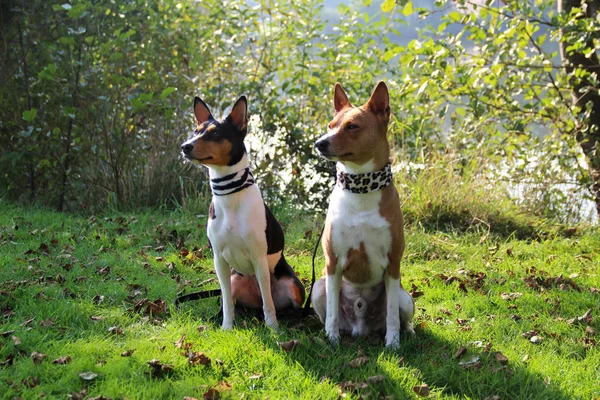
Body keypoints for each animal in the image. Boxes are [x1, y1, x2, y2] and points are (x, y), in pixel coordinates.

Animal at [180, 95, 304, 330]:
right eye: (195, 131)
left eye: (215, 133)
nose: (185, 146)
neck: (230, 196)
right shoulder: (219, 261)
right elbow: (227, 301)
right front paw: (226, 327)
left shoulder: (259, 258)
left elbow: (268, 303)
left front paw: (273, 329)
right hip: (235, 279)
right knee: (237, 301)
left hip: (292, 285)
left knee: (277, 302)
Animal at [312, 81, 414, 346]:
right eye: (330, 125)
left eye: (352, 126)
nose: (319, 143)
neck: (361, 188)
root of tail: (361, 328)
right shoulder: (333, 262)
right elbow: (332, 313)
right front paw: (332, 339)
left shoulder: (393, 263)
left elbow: (392, 316)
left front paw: (393, 343)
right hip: (318, 287)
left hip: (405, 298)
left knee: (400, 315)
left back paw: (408, 332)